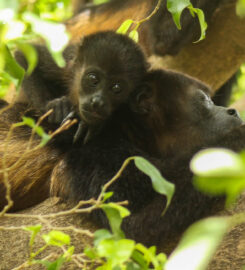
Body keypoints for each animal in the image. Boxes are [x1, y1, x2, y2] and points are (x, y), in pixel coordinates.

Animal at [16, 30, 149, 142]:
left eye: (117, 88)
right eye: (93, 79)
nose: (98, 101)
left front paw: (88, 124)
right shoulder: (66, 61)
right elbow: (23, 56)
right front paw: (55, 107)